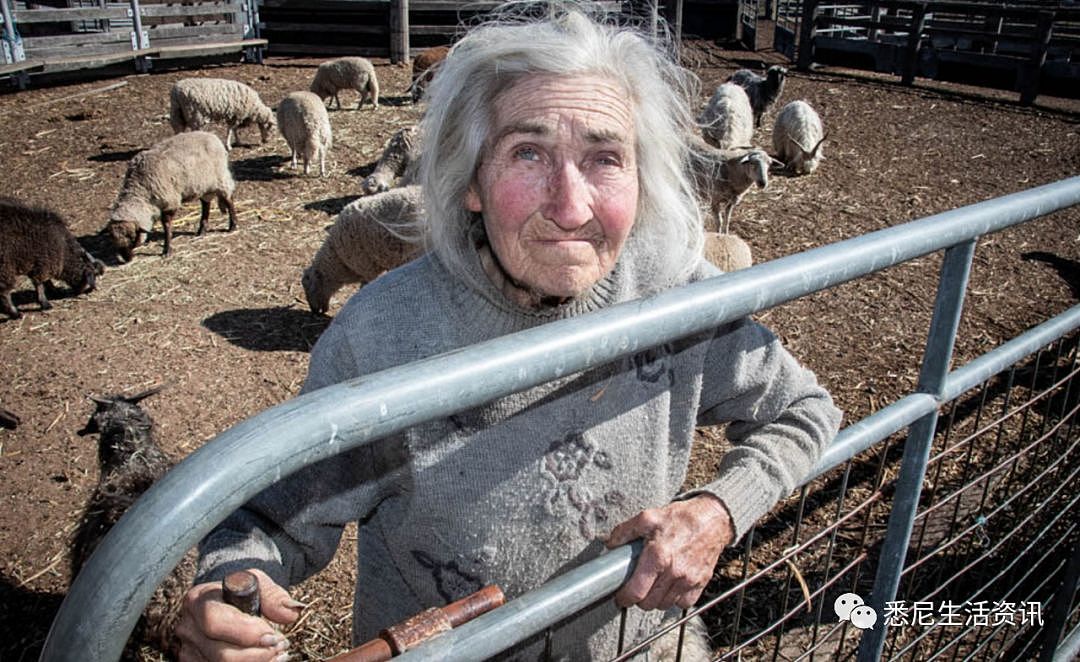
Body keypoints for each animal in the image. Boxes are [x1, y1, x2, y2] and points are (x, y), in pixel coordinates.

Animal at [106, 130, 237, 262]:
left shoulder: (169, 202)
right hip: (204, 183)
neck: (141, 190)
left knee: (228, 198)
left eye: (132, 238)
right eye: (114, 240)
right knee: (206, 204)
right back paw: (201, 231)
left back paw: (233, 225)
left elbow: (167, 226)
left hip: (220, 177)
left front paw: (167, 250)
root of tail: (211, 135)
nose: (126, 259)